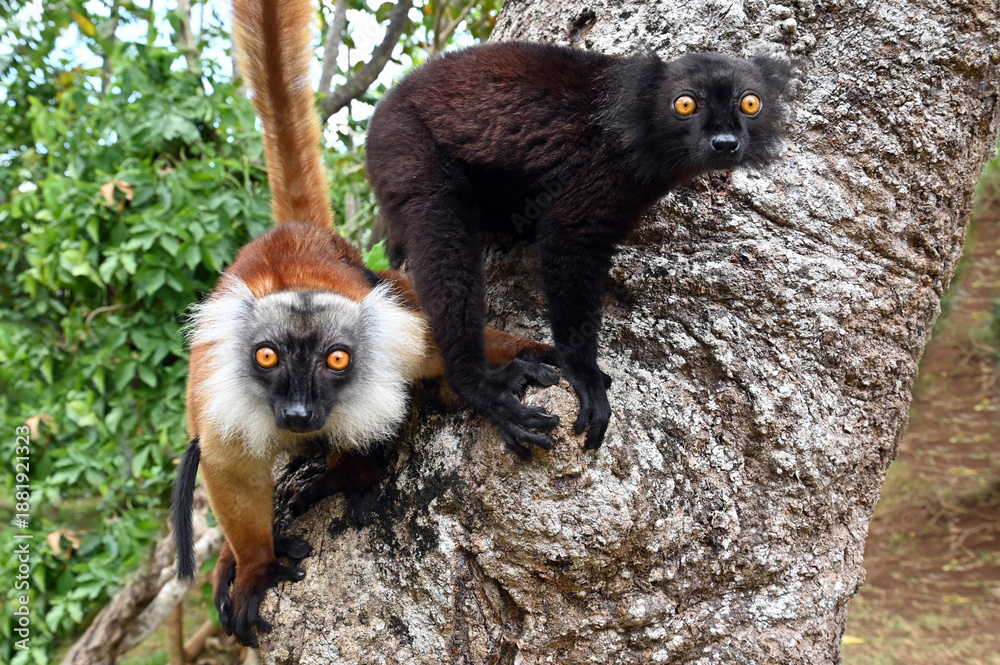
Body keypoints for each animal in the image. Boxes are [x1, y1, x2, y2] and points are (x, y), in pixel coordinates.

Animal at [170, 1, 556, 648]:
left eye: (337, 360)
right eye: (268, 357)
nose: (299, 413)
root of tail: (296, 234)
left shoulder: (398, 345)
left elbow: (447, 355)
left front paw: (503, 376)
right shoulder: (223, 396)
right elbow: (226, 467)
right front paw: (254, 569)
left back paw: (346, 471)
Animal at [366, 42, 791, 457]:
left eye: (749, 103)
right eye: (686, 104)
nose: (725, 143)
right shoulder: (609, 167)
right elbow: (569, 236)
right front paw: (583, 372)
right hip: (402, 139)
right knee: (440, 212)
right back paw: (478, 383)